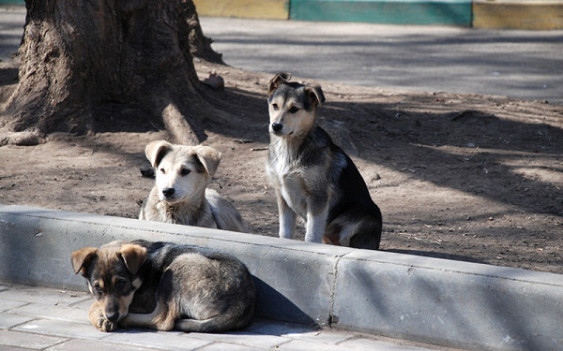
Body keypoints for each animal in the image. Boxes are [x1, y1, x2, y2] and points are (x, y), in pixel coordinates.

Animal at [71, 241, 258, 334]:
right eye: (98, 289)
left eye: (122, 284)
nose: (111, 316)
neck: (142, 270)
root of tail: (243, 304)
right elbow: (97, 303)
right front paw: (103, 318)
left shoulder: (141, 301)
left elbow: (93, 306)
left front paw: (102, 318)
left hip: (179, 265)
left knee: (163, 320)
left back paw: (125, 321)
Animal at [266, 73, 384, 250]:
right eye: (274, 106)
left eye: (294, 109)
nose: (275, 126)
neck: (289, 148)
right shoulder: (282, 195)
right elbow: (285, 231)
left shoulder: (318, 196)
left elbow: (312, 234)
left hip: (360, 219)